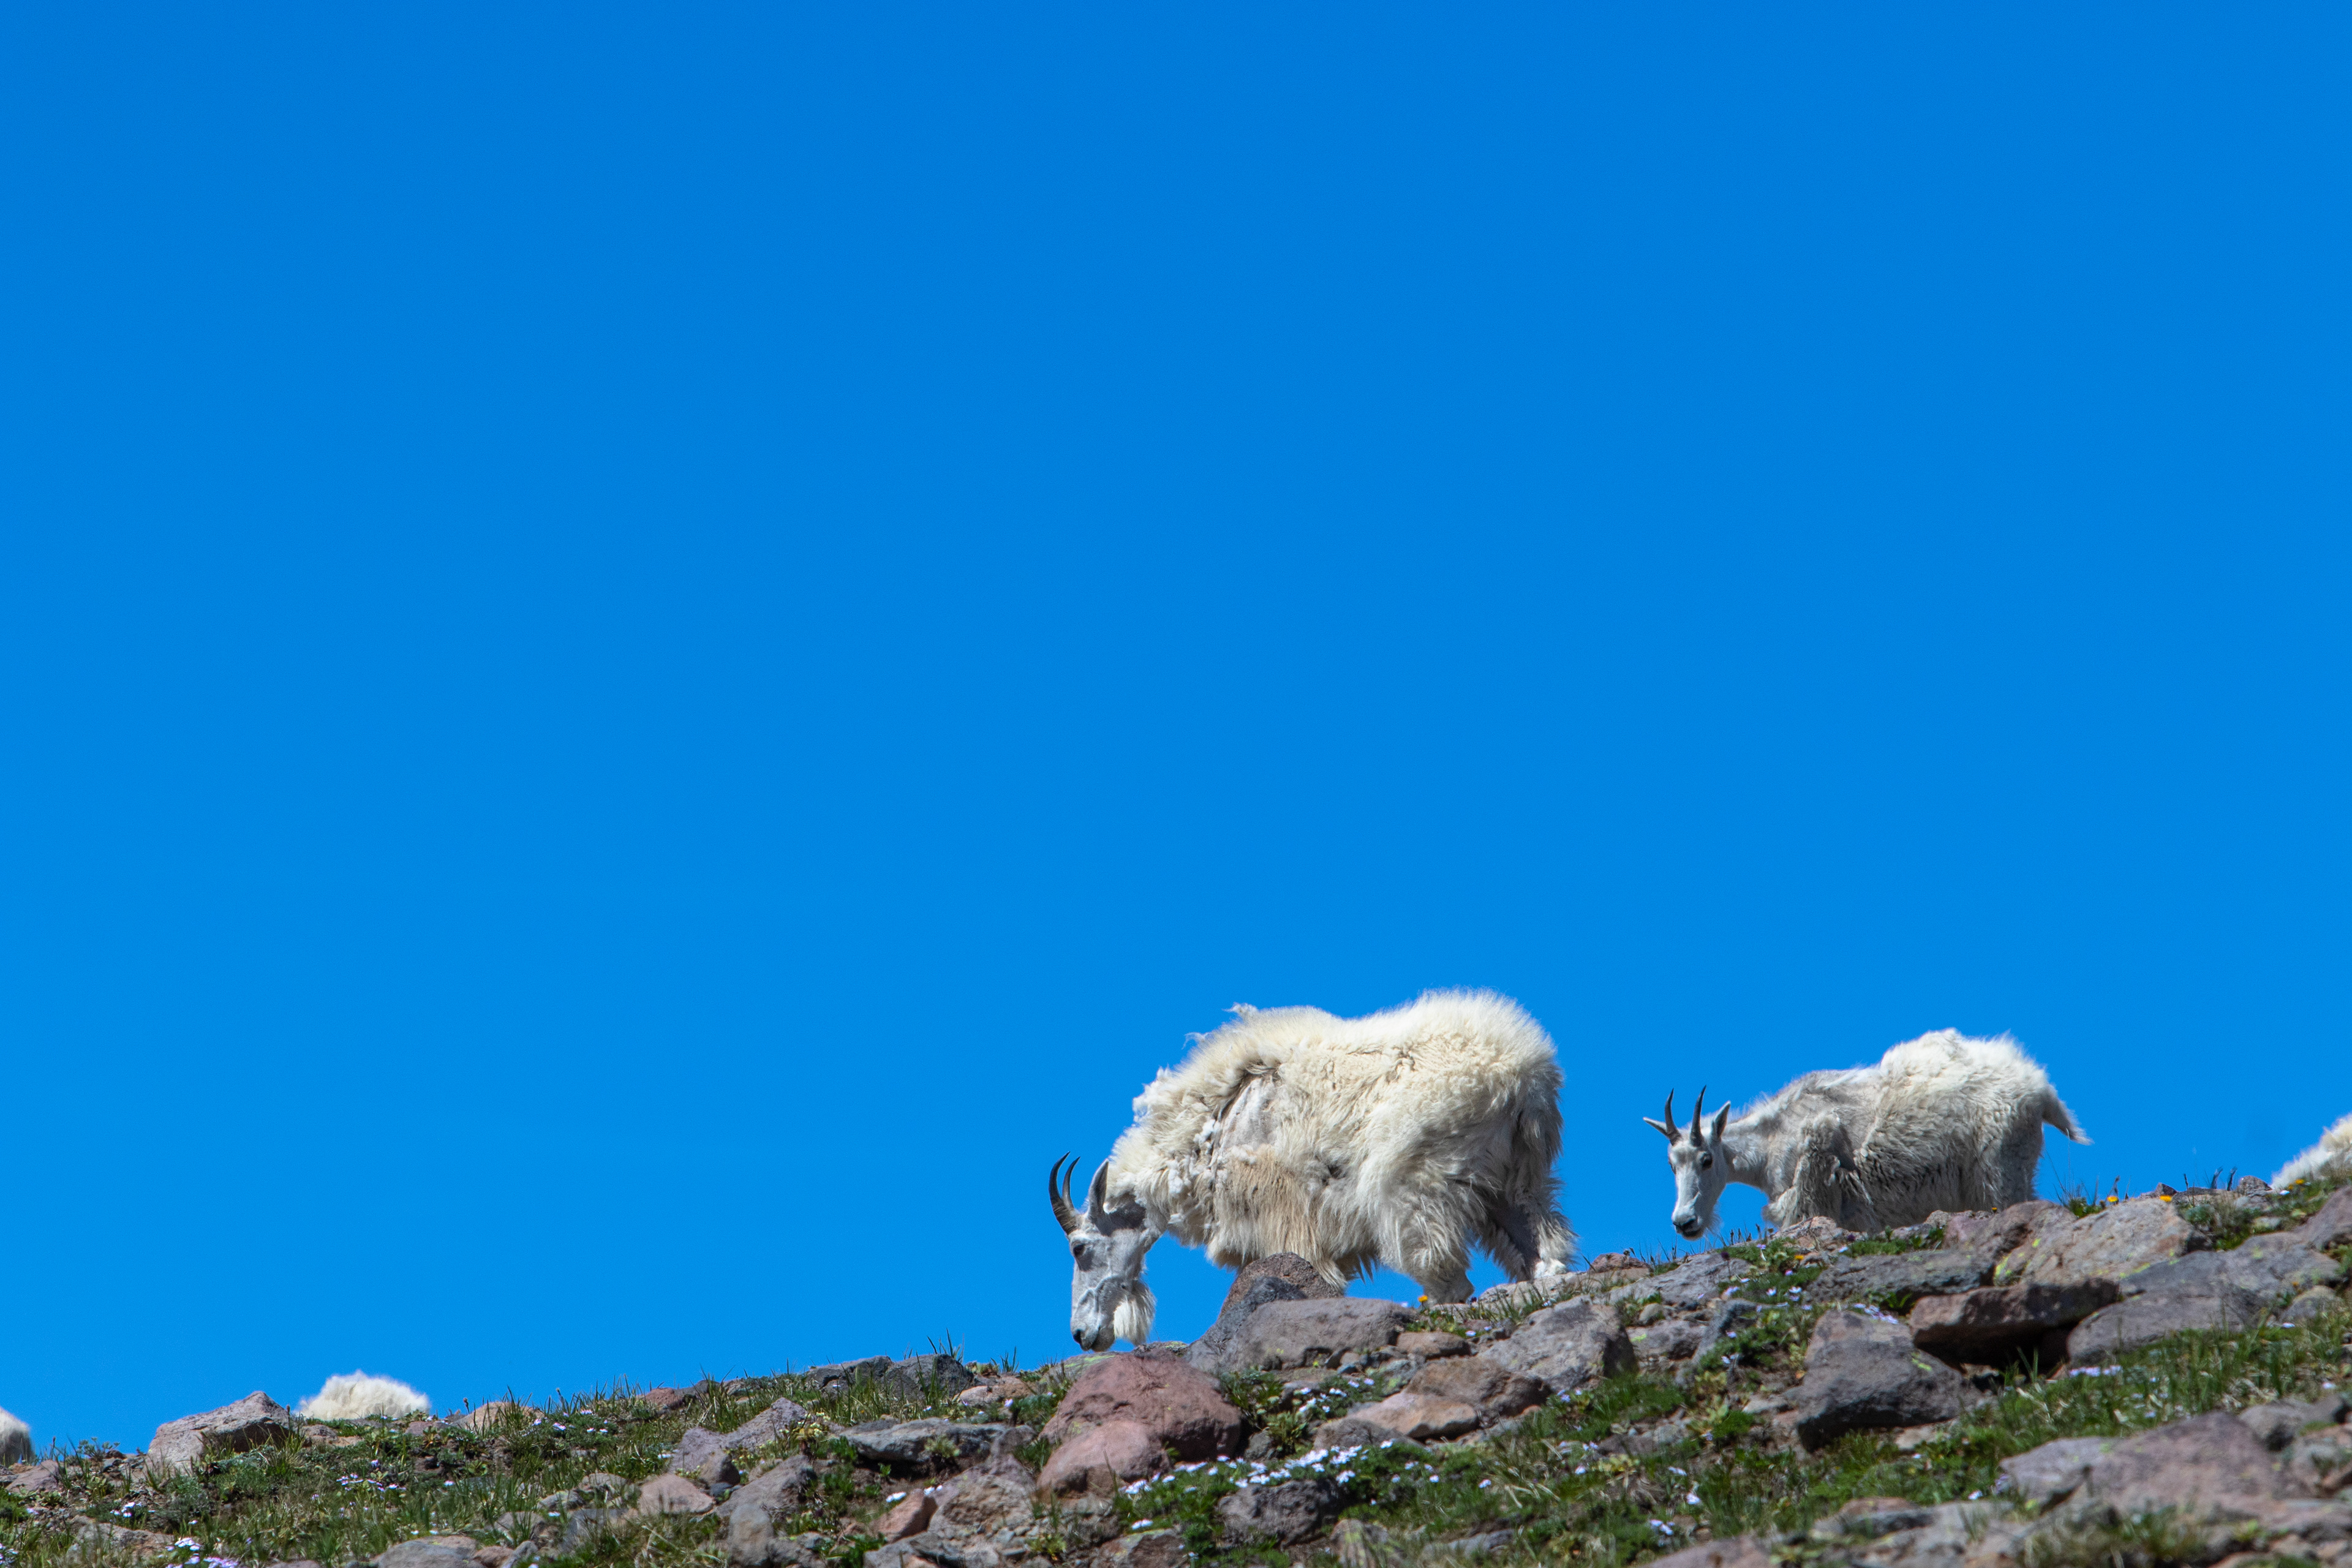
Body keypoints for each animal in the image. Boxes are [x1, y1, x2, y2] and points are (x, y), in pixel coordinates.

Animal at [1050, 989, 1576, 1350]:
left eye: (1079, 1248)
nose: (1082, 1334)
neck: (1214, 1125)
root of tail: (1524, 1077)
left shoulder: (1285, 1216)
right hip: (1516, 1183)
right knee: (1543, 1254)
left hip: (1419, 1181)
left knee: (1446, 1276)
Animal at [1645, 1029, 2089, 1239]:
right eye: (1670, 1165)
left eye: (1707, 1159)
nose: (1684, 1222)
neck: (1772, 1142)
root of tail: (2041, 1091)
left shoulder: (1812, 1196)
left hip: (1998, 1169)